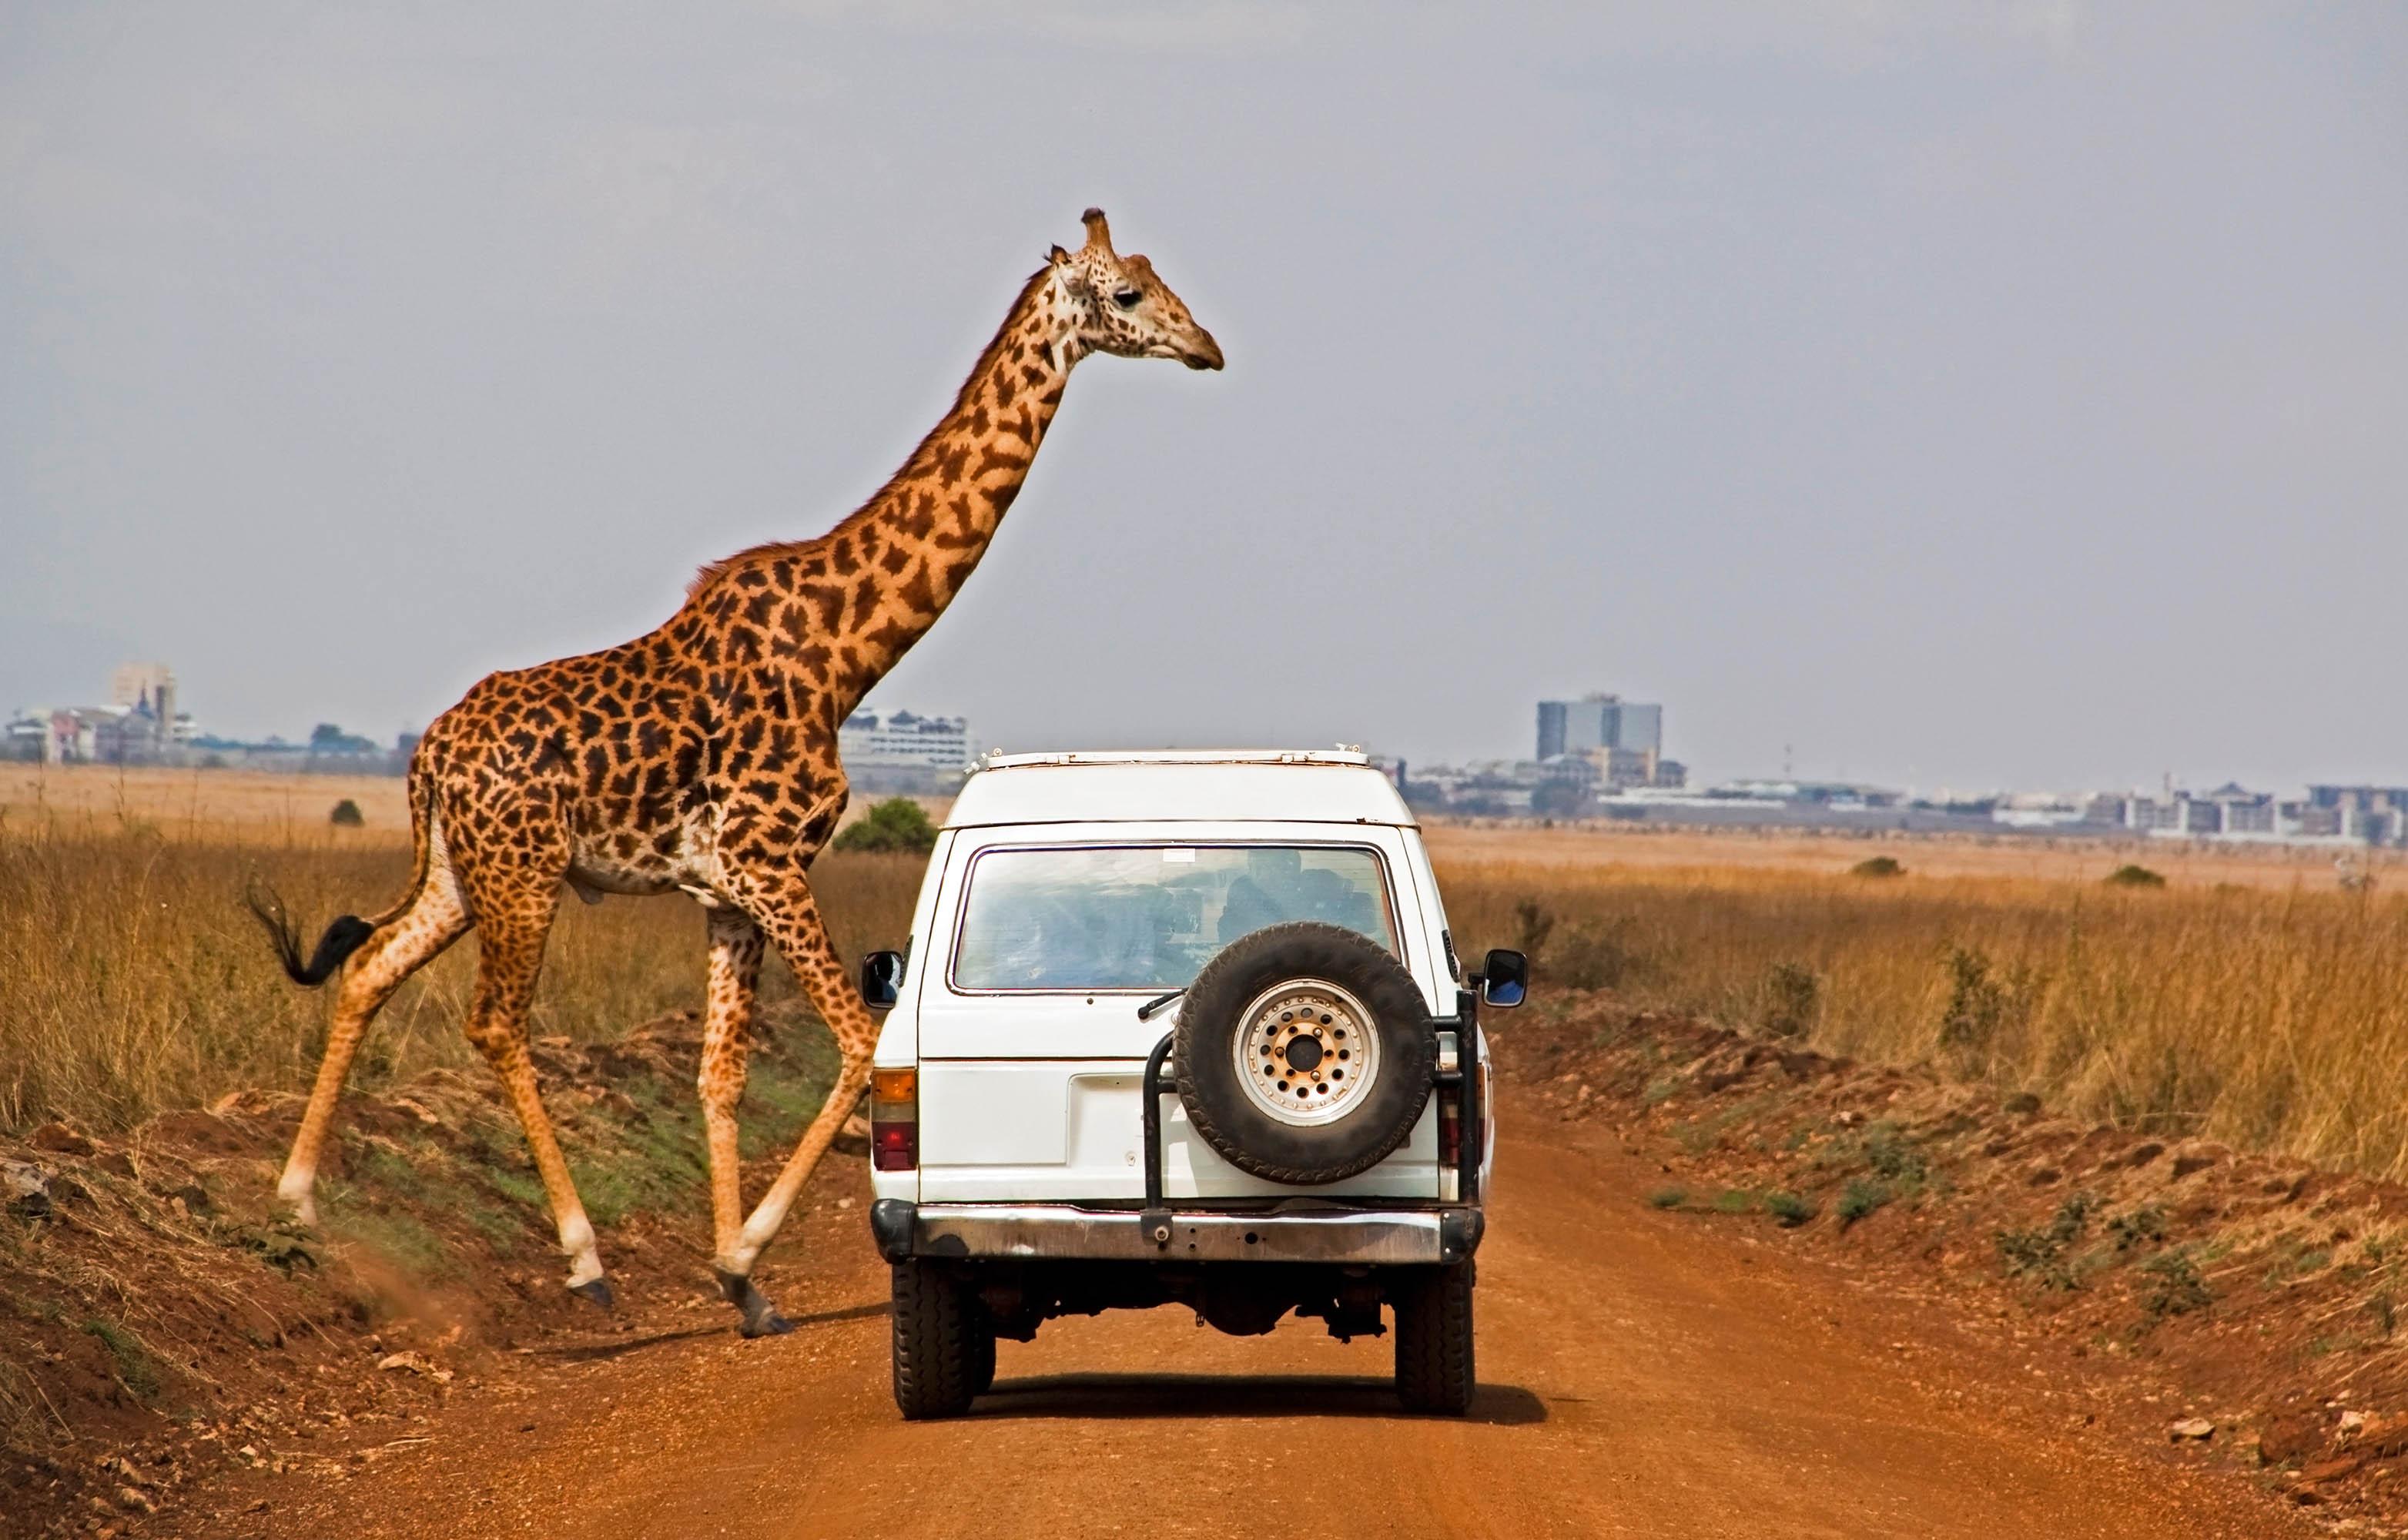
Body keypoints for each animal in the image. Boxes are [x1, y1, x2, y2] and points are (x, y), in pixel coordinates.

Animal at [250, 209, 1222, 1335]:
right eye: (1128, 296)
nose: (1207, 347)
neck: (845, 653)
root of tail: (428, 756)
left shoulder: (724, 891)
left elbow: (720, 1077)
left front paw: (742, 1281)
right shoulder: (770, 861)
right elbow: (855, 1041)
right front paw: (743, 1252)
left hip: (462, 873)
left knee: (368, 969)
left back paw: (296, 1202)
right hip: (523, 876)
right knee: (495, 1021)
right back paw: (584, 1261)